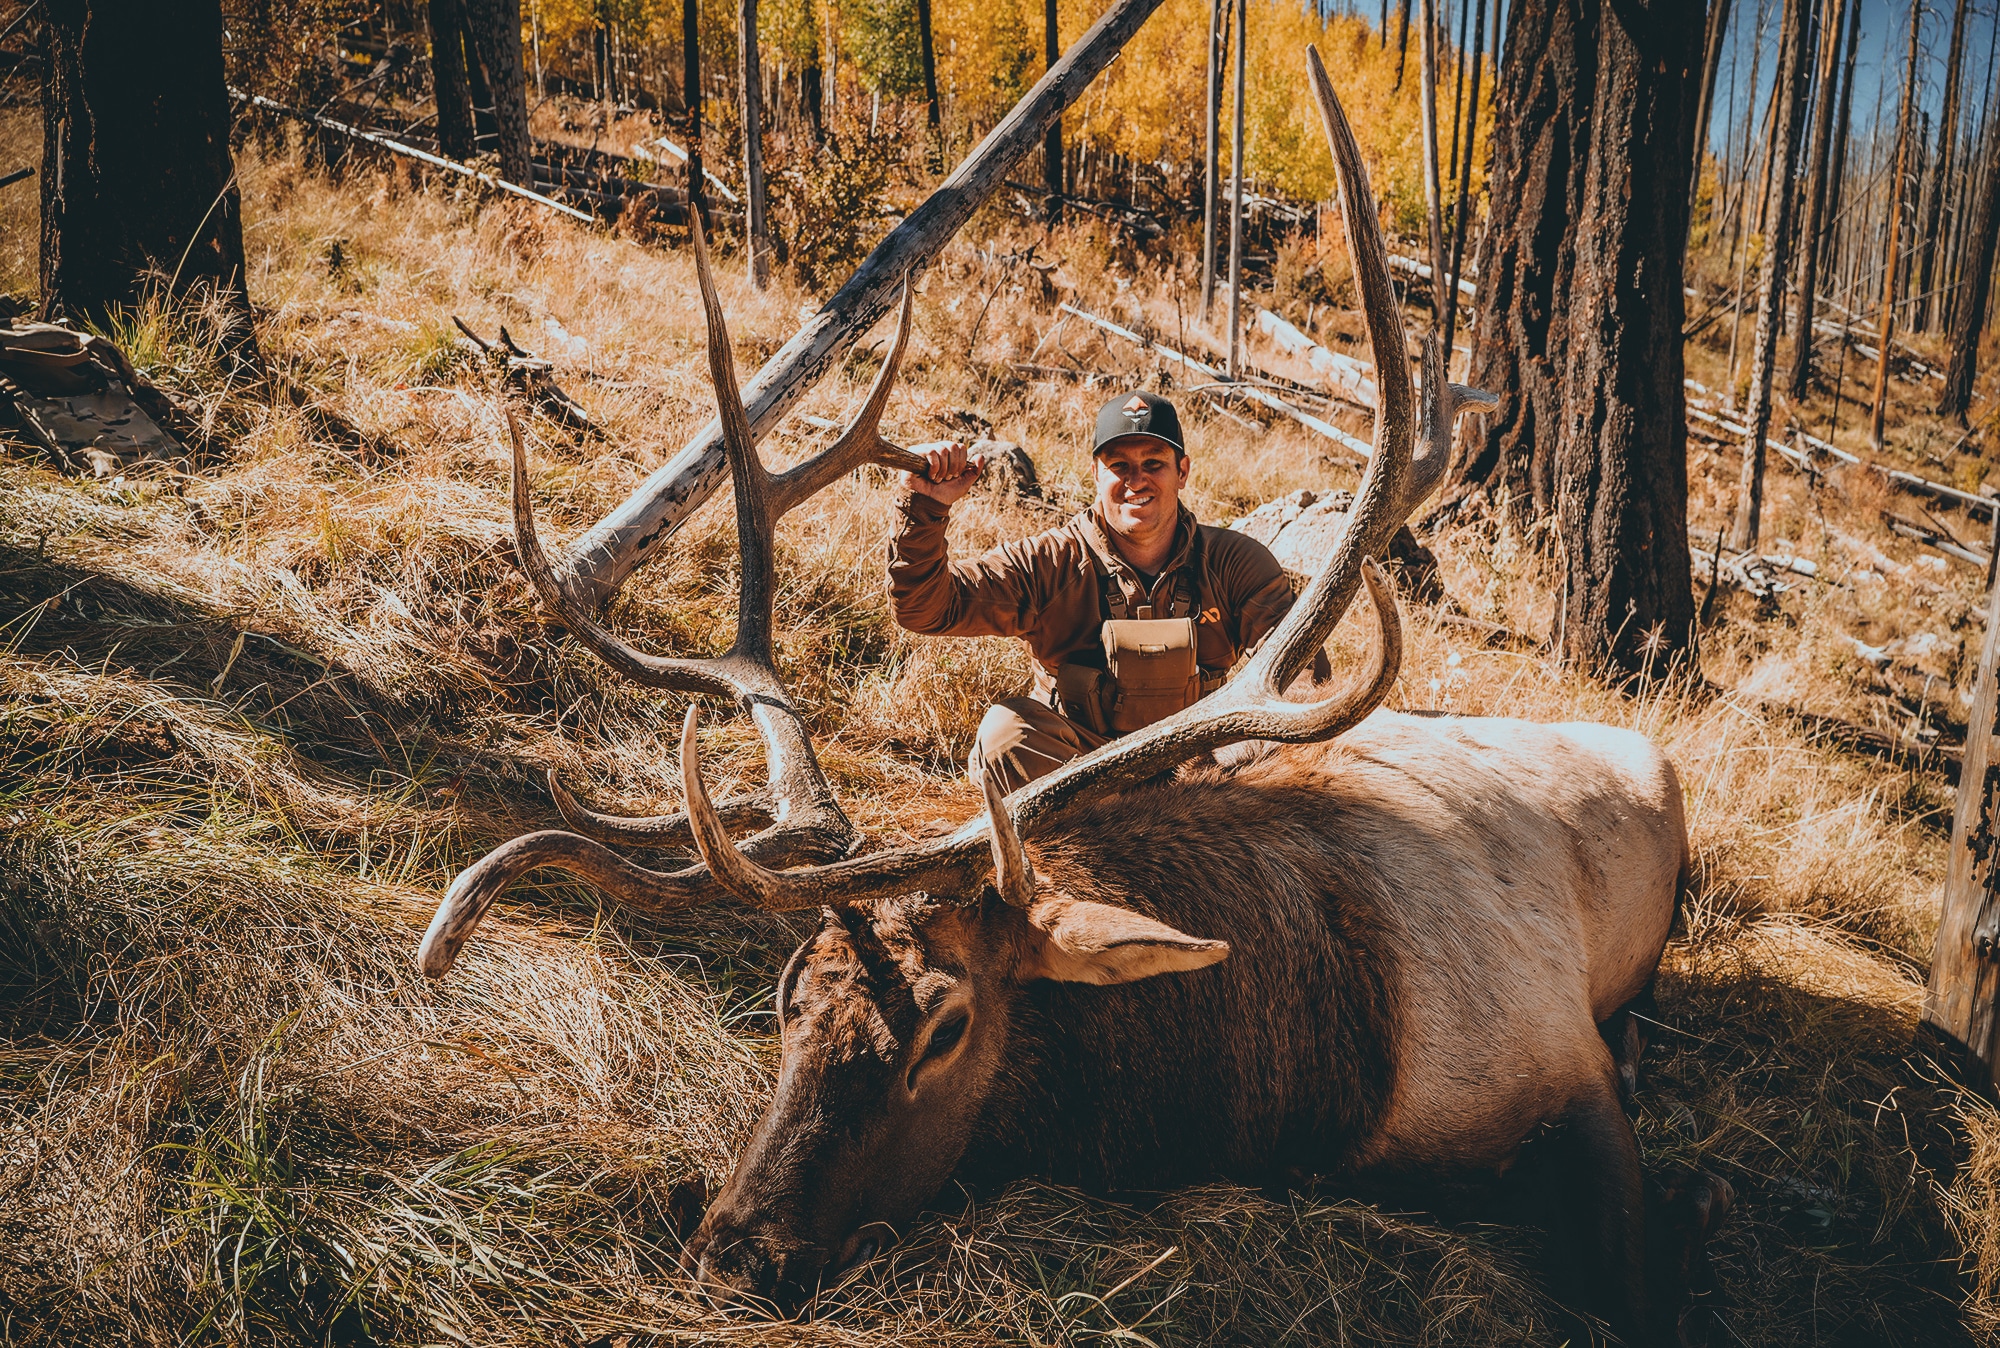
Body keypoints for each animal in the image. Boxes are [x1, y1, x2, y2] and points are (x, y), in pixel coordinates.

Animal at [422, 47, 1736, 1336]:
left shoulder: (1559, 1071)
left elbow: (1634, 1276)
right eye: (789, 997)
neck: (1312, 1078)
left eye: (944, 1026)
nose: (734, 1253)